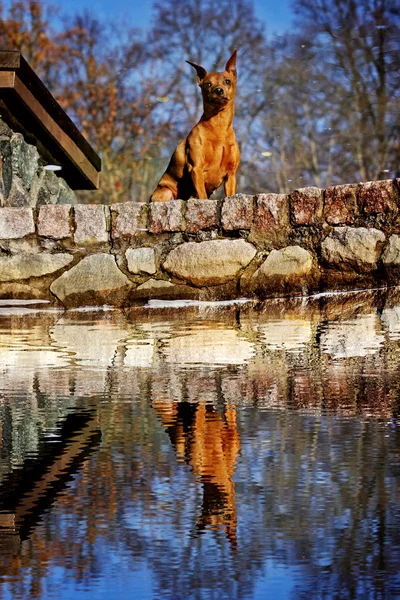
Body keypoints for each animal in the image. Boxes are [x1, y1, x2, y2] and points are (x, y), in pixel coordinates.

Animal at [149, 50, 238, 203]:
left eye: (227, 81)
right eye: (208, 84)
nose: (218, 90)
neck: (219, 127)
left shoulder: (231, 174)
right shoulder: (196, 168)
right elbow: (202, 195)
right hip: (165, 192)